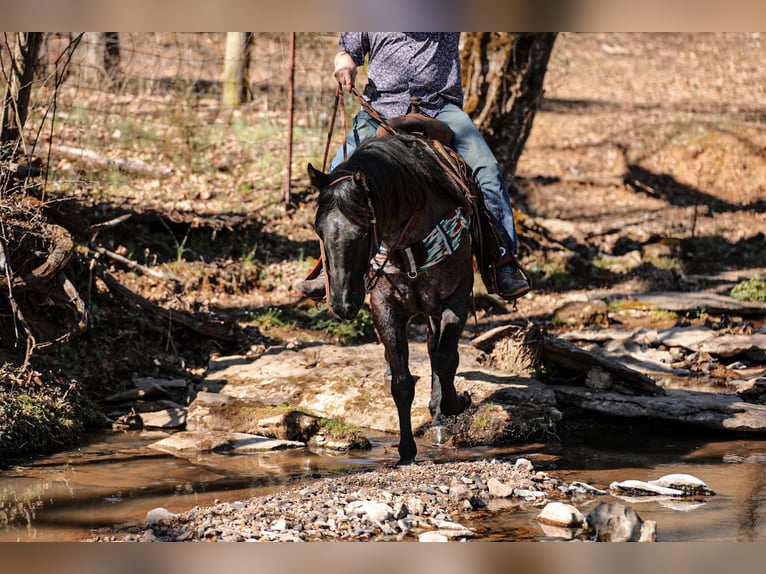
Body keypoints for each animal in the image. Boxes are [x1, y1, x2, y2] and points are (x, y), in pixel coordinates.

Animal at [307, 133, 475, 465]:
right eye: (319, 229)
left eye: (361, 232)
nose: (342, 304)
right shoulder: (384, 308)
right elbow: (401, 383)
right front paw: (406, 452)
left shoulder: (458, 296)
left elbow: (447, 358)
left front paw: (453, 404)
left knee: (437, 351)